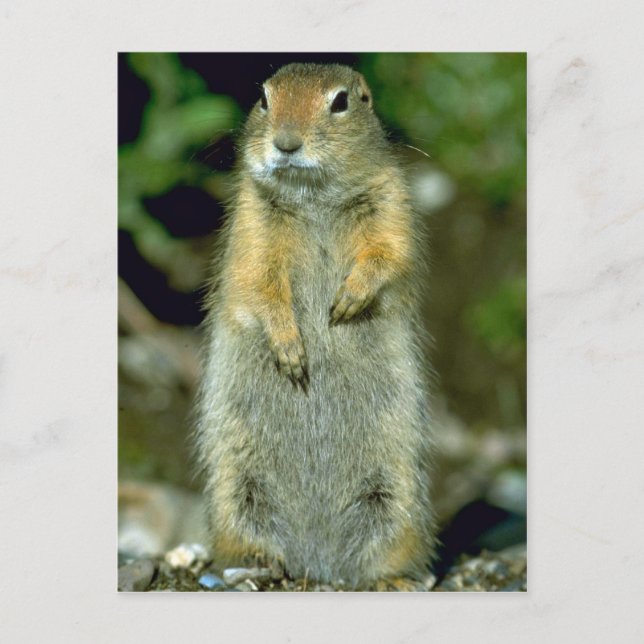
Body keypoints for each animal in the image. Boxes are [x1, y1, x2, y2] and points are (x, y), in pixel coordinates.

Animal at [196, 63, 436, 588]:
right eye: (264, 98)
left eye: (341, 101)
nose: (286, 143)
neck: (314, 199)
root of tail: (319, 563)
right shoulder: (252, 226)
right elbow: (259, 284)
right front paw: (291, 350)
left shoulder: (390, 201)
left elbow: (388, 252)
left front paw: (346, 303)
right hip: (239, 489)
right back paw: (259, 568)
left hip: (393, 496)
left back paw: (388, 578)